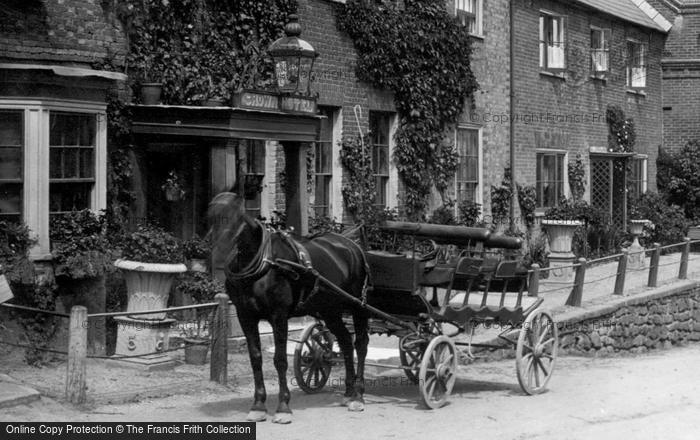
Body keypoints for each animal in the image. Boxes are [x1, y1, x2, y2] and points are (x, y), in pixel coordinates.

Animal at [208, 192, 372, 422]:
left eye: (236, 218)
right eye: (210, 217)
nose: (220, 256)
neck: (265, 264)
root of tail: (352, 245)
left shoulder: (279, 315)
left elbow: (280, 360)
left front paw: (283, 406)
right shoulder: (245, 315)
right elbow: (256, 358)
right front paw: (258, 405)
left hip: (358, 306)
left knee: (361, 345)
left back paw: (358, 395)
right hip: (329, 310)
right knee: (346, 342)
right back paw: (348, 392)